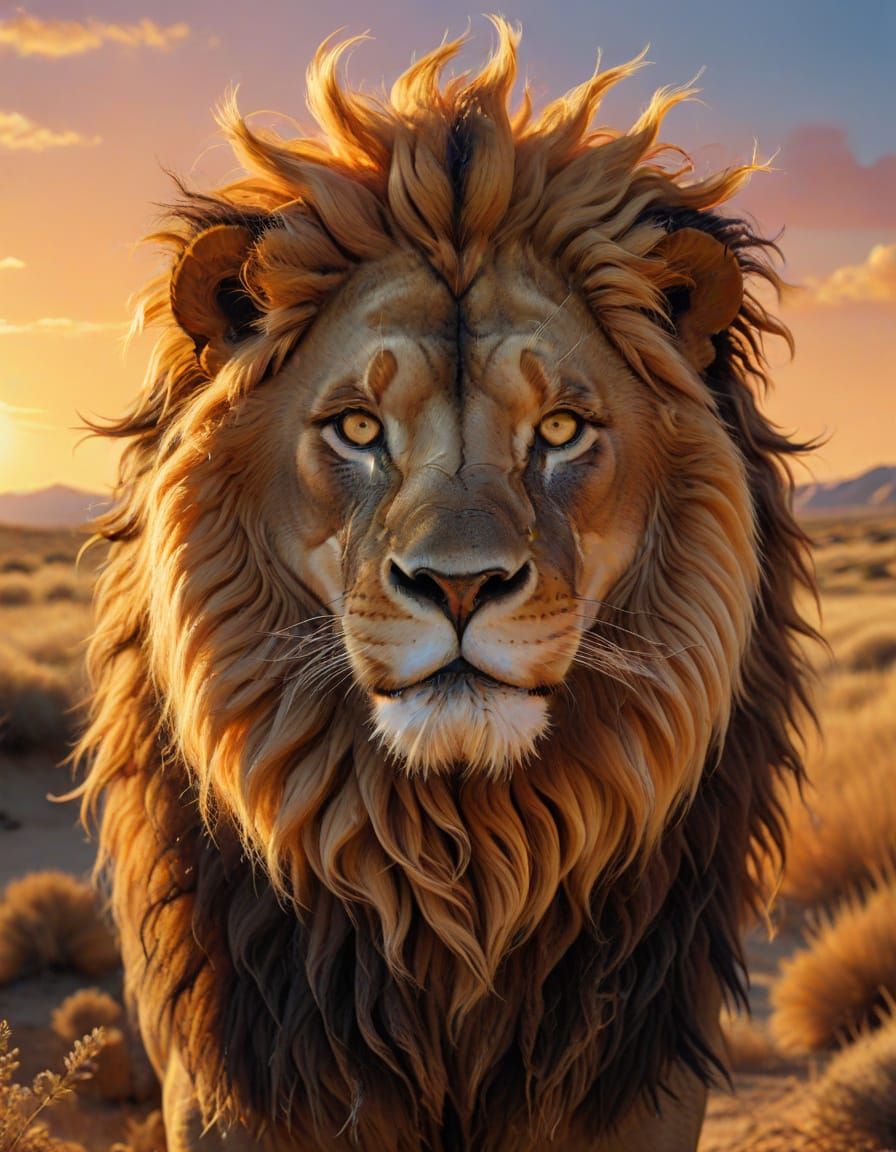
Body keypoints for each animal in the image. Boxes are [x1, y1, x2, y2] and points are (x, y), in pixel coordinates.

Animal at [76, 20, 816, 1152]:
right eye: (356, 427)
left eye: (558, 429)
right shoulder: (230, 1079)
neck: (461, 867)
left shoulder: (636, 1084)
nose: (459, 587)